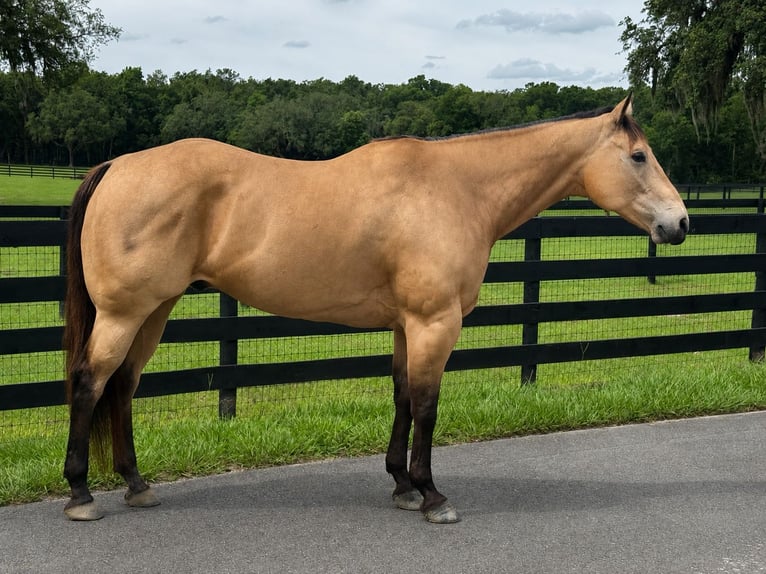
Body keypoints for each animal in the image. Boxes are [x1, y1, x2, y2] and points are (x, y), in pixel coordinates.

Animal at [62, 95, 688, 523]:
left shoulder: (407, 326)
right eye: (638, 156)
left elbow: (404, 397)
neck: (456, 189)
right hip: (125, 313)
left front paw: (402, 486)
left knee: (122, 387)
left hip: (154, 310)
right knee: (91, 381)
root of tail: (117, 165)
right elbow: (428, 406)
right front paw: (432, 495)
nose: (679, 222)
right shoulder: (436, 323)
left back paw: (136, 485)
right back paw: (81, 493)